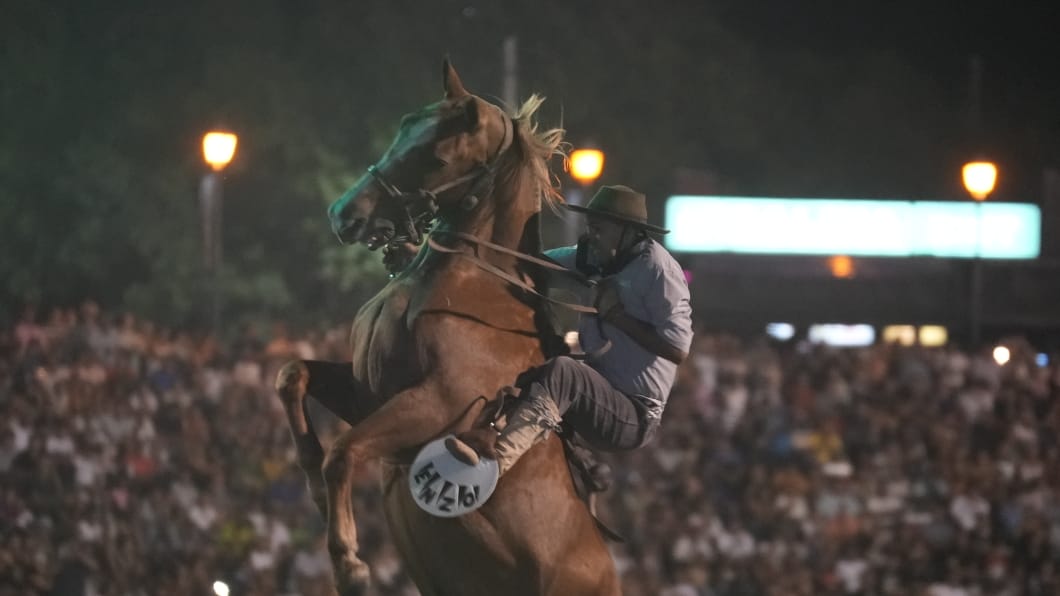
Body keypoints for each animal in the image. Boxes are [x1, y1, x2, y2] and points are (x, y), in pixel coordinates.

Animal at [275, 59, 619, 589]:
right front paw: (313, 487)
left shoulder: (438, 404)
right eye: (402, 128)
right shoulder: (366, 394)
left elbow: (344, 453)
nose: (344, 215)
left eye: (436, 158)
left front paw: (350, 562)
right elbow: (293, 377)